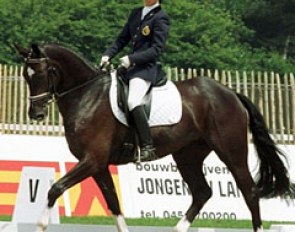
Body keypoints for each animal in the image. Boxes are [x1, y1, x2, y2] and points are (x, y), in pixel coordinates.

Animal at [15, 44, 294, 232]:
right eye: (25, 76)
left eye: (43, 73)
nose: (36, 113)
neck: (86, 95)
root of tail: (231, 93)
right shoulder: (99, 166)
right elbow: (114, 204)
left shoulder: (92, 161)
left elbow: (55, 188)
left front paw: (40, 224)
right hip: (187, 155)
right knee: (202, 192)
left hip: (231, 152)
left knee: (250, 192)